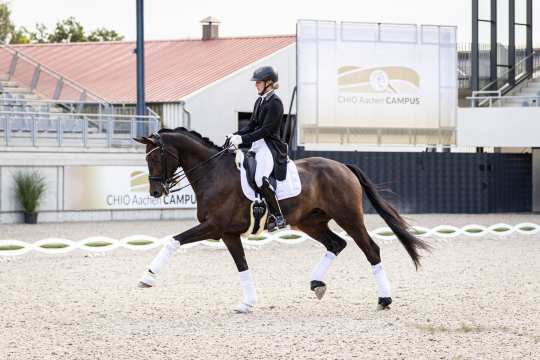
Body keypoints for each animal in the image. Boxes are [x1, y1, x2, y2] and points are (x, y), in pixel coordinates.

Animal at [133, 129, 428, 312]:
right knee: (336, 244)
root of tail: (343, 166)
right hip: (310, 222)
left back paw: (384, 299)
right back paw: (317, 284)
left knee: (371, 249)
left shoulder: (214, 227)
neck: (213, 172)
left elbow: (173, 241)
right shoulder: (228, 233)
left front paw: (147, 278)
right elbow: (242, 265)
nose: (155, 192)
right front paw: (247, 303)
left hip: (349, 218)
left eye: (156, 156)